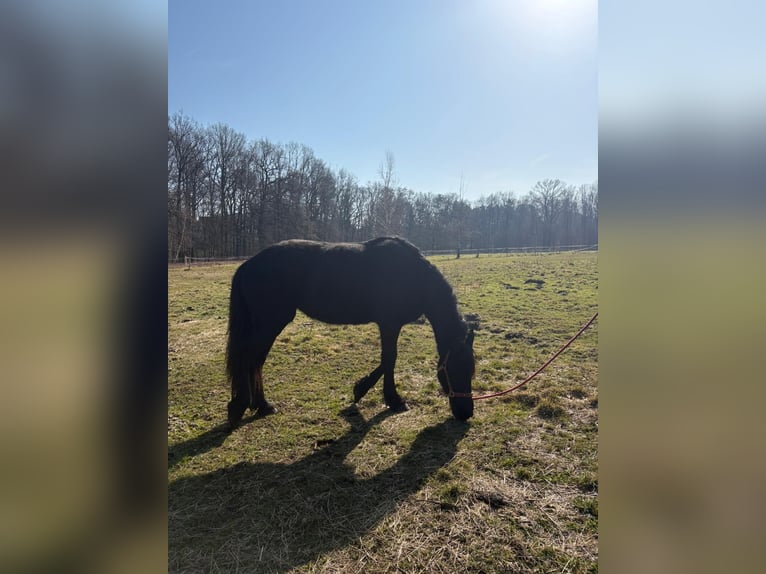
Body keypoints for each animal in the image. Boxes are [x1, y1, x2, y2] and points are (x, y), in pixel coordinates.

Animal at [225, 236, 475, 428]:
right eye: (456, 370)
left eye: (471, 371)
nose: (466, 414)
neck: (413, 275)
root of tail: (248, 264)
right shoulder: (389, 324)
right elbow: (390, 359)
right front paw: (392, 399)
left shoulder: (389, 325)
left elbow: (386, 361)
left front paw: (361, 389)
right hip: (271, 322)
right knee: (250, 358)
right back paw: (242, 406)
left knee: (256, 361)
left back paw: (261, 406)